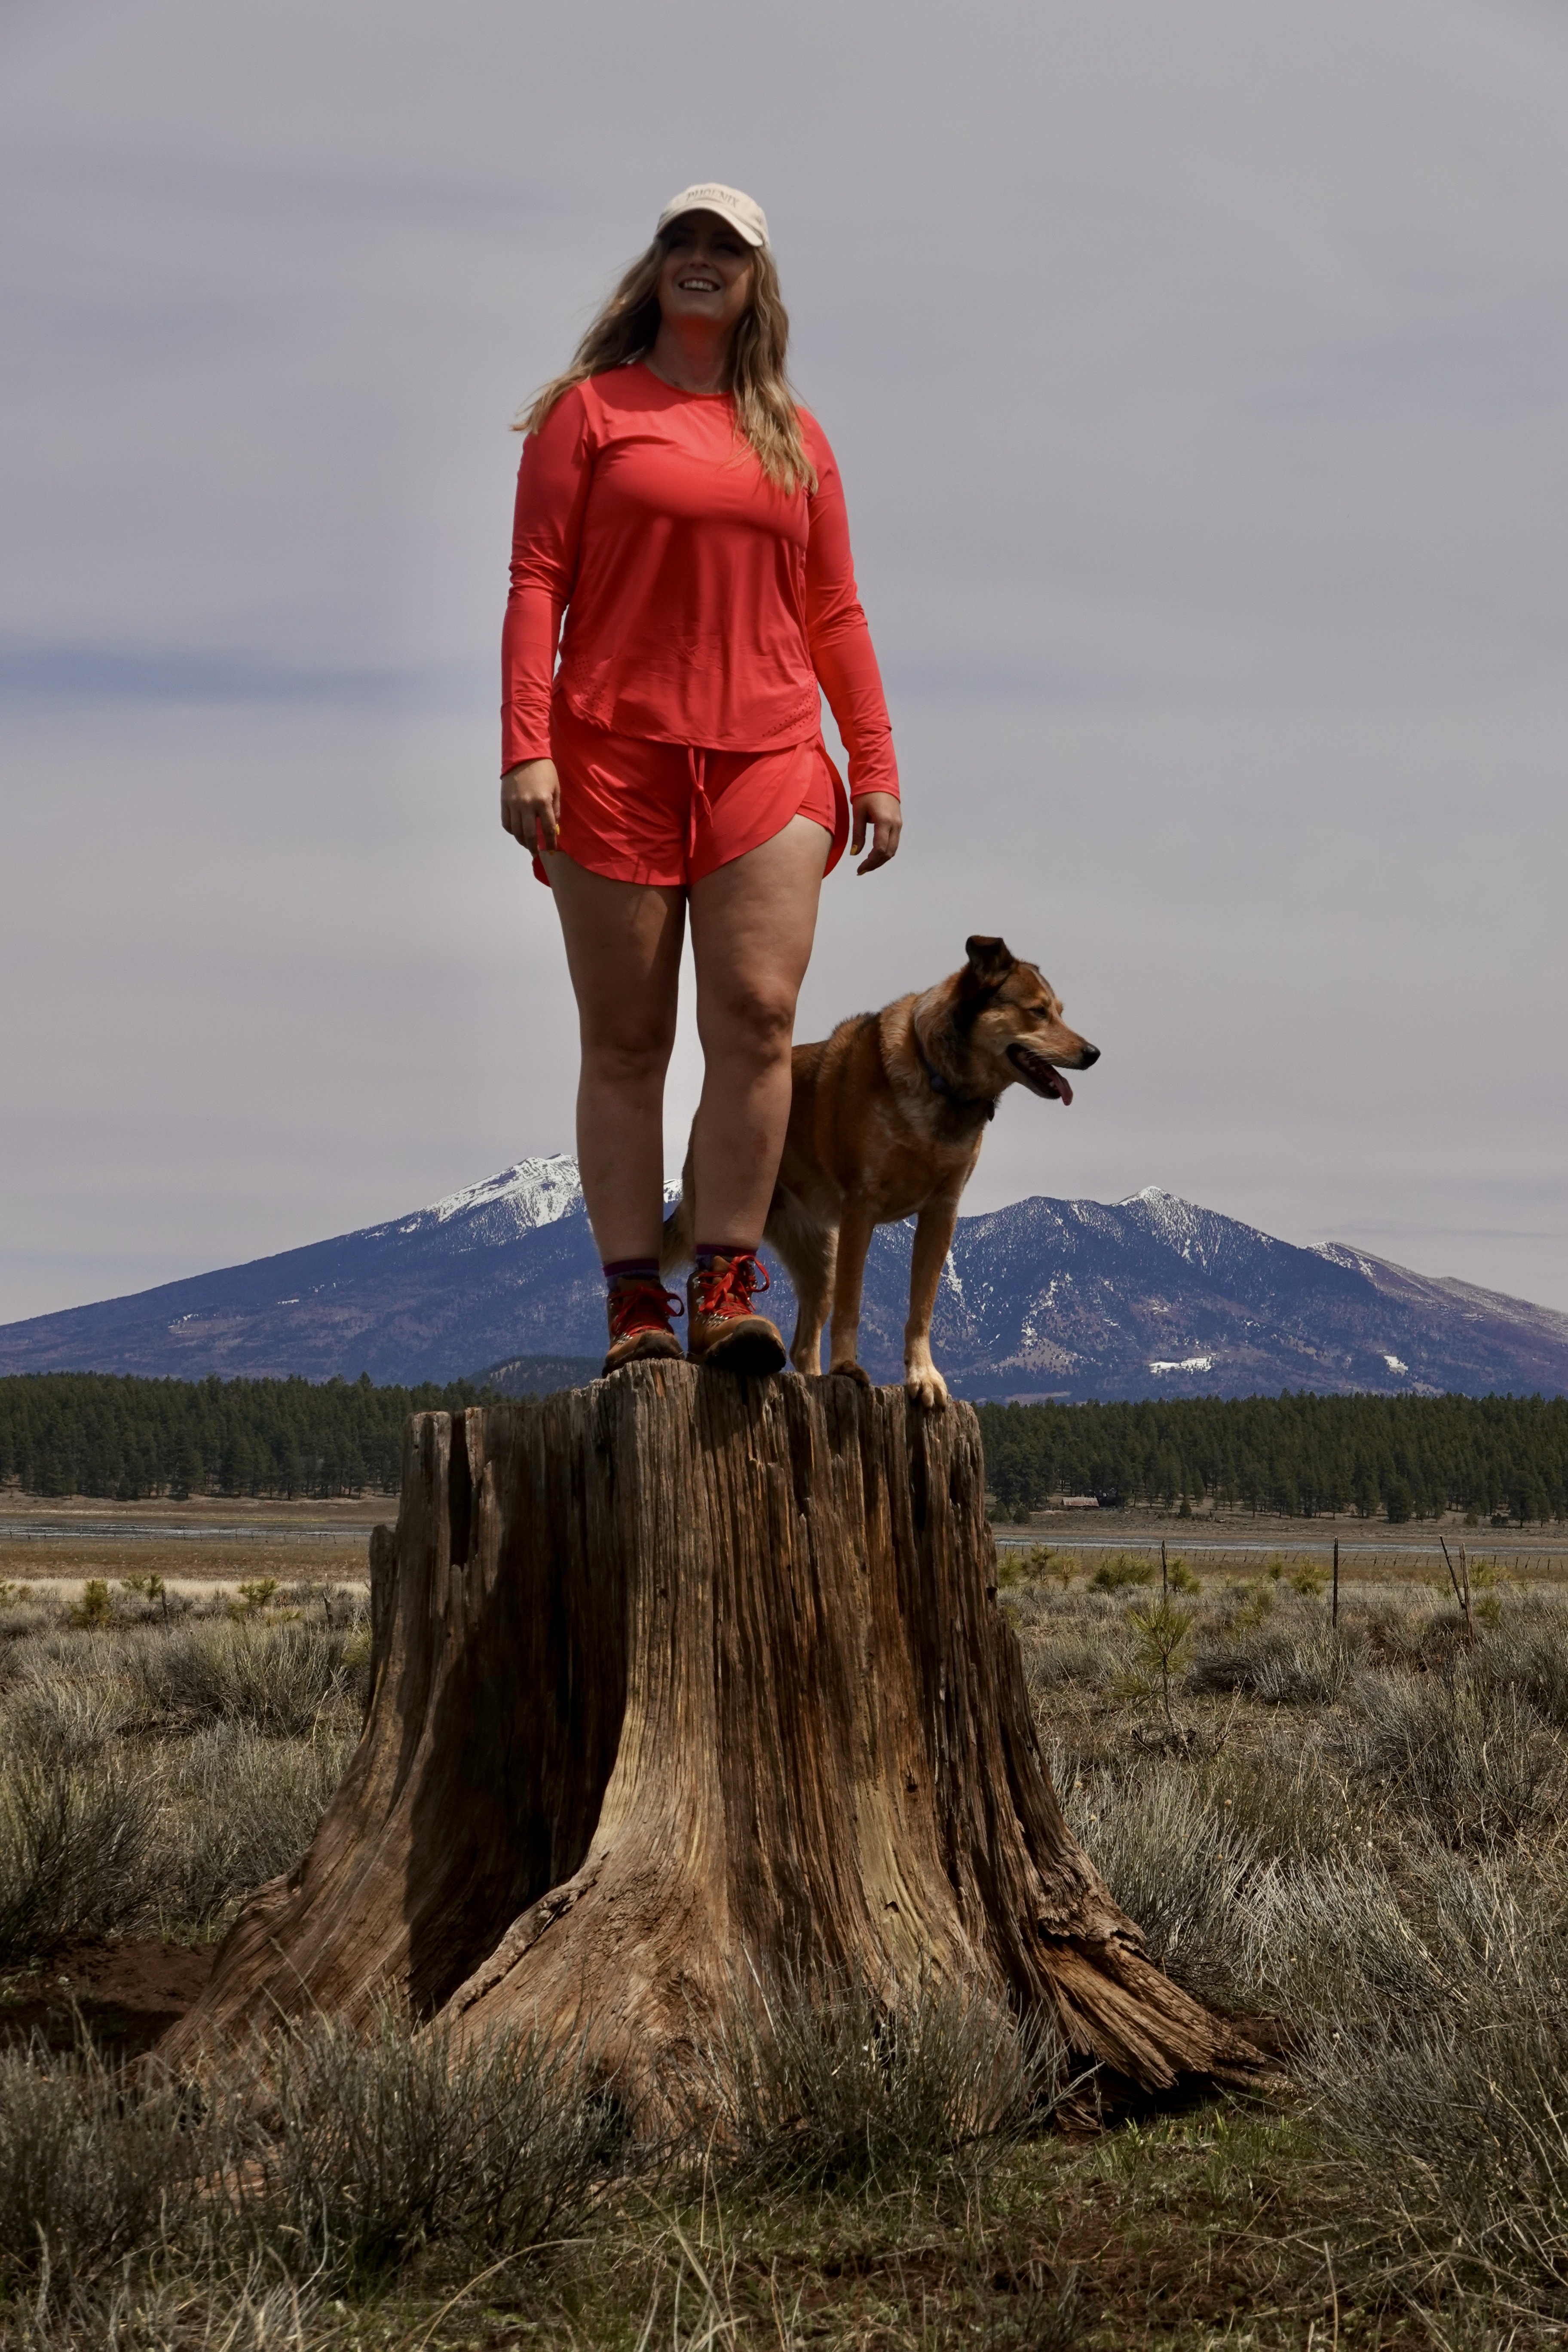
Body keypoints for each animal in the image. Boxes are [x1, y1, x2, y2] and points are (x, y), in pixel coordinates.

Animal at [668, 936, 1100, 1402]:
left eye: (1060, 1011)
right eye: (1037, 1011)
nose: (1093, 1053)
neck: (939, 1081)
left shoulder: (942, 1212)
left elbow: (921, 1310)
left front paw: (924, 1377)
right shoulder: (862, 1206)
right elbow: (853, 1304)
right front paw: (846, 1367)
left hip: (819, 1260)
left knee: (803, 1343)